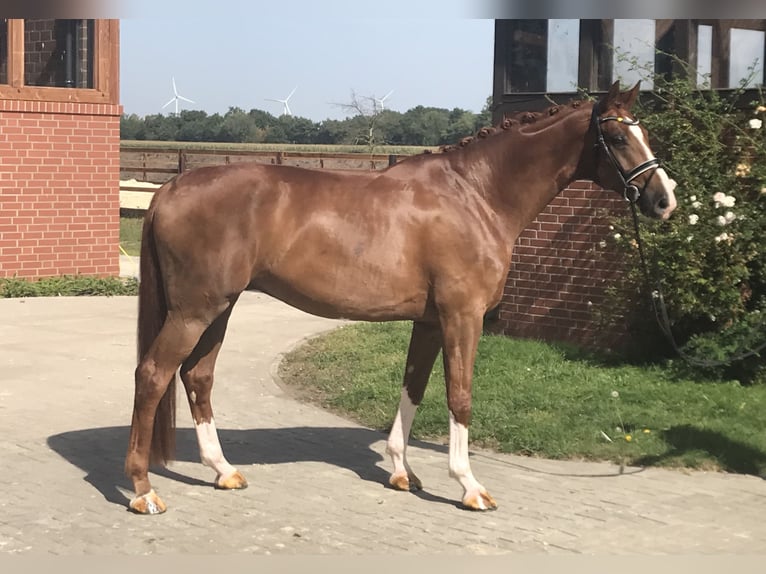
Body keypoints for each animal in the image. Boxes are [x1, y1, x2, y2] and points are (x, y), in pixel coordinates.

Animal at [124, 82, 680, 516]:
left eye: (645, 134)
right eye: (616, 137)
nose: (665, 200)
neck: (475, 194)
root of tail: (170, 187)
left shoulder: (430, 322)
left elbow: (413, 386)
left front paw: (401, 471)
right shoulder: (462, 317)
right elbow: (460, 395)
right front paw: (470, 486)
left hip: (220, 307)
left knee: (197, 377)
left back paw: (223, 471)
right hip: (195, 311)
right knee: (153, 375)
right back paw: (143, 491)